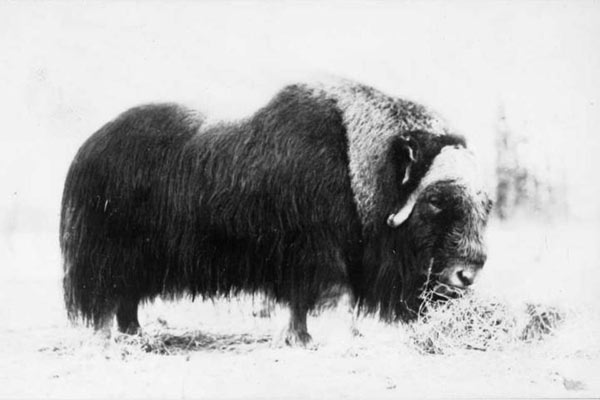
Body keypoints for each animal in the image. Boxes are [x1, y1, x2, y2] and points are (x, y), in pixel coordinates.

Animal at [61, 79, 492, 345]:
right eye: (436, 201)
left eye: (484, 205)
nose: (466, 275)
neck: (356, 164)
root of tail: (89, 146)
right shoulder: (318, 255)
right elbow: (331, 296)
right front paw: (330, 338)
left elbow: (302, 304)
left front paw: (301, 339)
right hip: (106, 254)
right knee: (104, 296)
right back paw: (110, 340)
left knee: (127, 299)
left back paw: (135, 333)